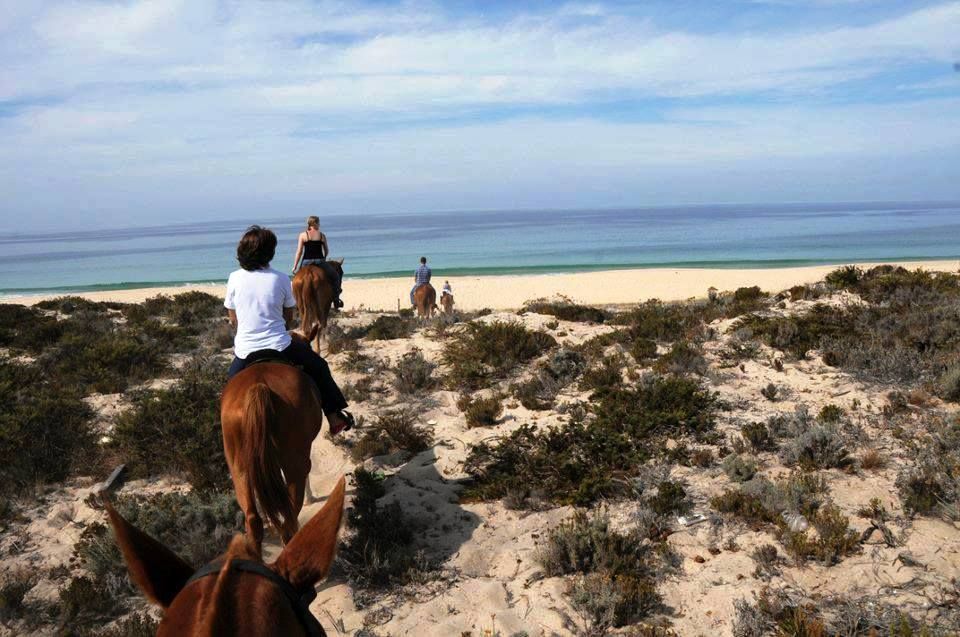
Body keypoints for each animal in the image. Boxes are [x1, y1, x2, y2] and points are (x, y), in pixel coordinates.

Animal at [218, 326, 320, 556]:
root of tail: (259, 387)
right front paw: (311, 497)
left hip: (239, 466)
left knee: (253, 518)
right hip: (293, 461)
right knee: (289, 517)